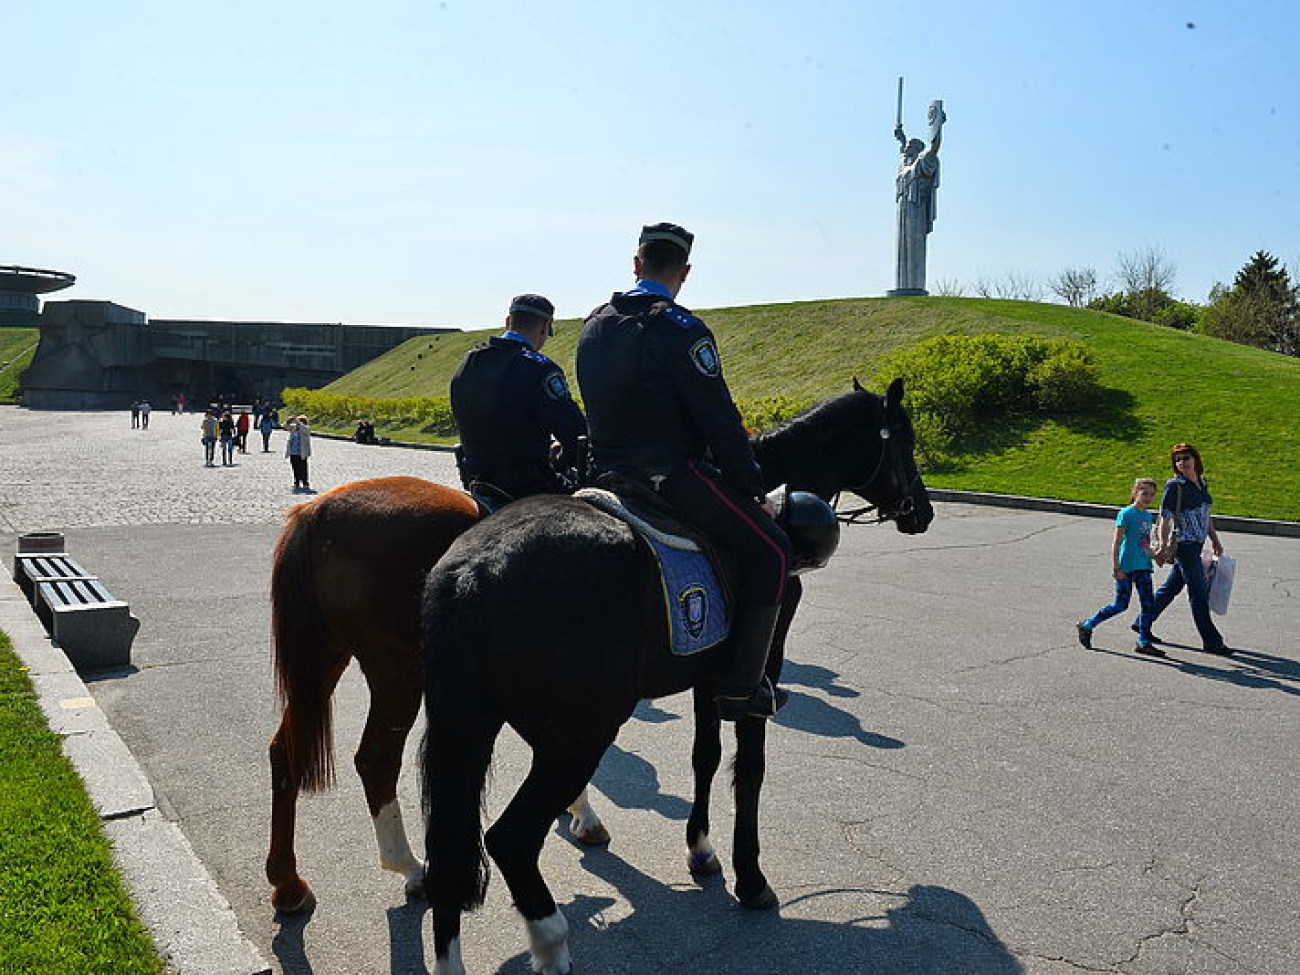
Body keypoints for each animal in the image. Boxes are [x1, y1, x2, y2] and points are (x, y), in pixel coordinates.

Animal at [263, 478, 608, 915]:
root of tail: (315, 513)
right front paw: (582, 811)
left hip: (322, 661)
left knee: (285, 752)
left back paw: (287, 882)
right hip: (398, 672)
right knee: (376, 760)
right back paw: (409, 867)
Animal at [421, 377, 930, 972]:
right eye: (906, 439)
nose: (922, 510)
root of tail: (470, 569)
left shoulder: (710, 676)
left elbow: (704, 757)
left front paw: (701, 849)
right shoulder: (758, 673)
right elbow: (749, 769)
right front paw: (750, 877)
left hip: (471, 728)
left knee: (448, 851)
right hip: (579, 733)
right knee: (510, 839)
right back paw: (551, 938)